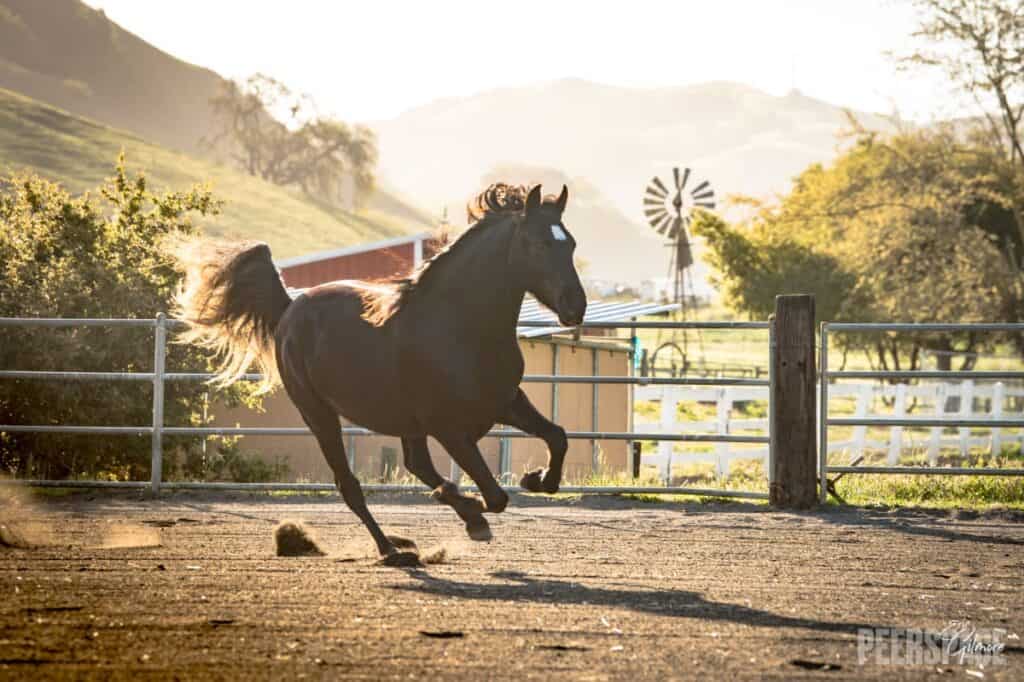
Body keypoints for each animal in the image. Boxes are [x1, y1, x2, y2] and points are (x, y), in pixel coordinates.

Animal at [173, 182, 589, 561]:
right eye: (537, 243)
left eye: (570, 244)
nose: (576, 307)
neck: (461, 327)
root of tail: (291, 307)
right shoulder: (449, 427)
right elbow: (495, 496)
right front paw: (473, 511)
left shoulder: (505, 402)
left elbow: (557, 437)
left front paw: (535, 480)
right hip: (319, 415)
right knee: (350, 485)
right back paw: (391, 547)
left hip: (402, 422)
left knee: (416, 464)